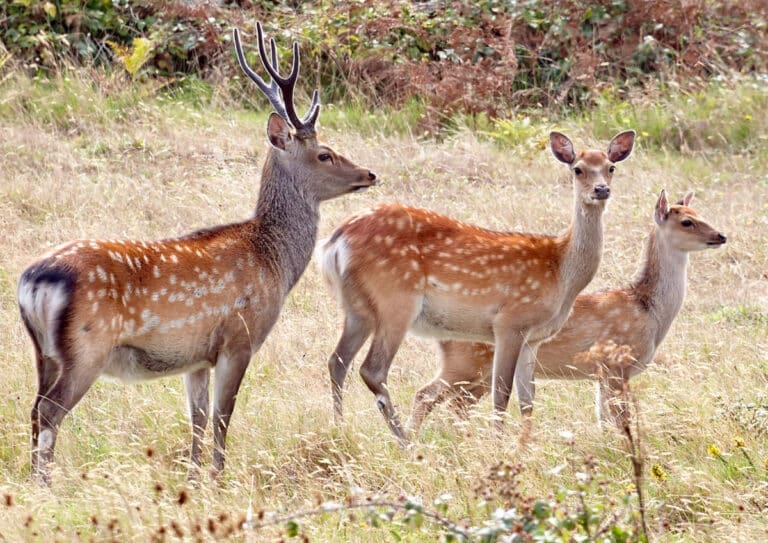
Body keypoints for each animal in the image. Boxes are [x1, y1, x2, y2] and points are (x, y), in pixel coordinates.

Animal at [17, 23, 377, 485]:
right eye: (325, 153)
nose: (369, 173)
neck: (273, 261)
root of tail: (33, 280)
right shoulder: (239, 337)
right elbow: (224, 416)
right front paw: (219, 480)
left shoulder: (195, 357)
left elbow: (198, 420)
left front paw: (193, 480)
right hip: (85, 347)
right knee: (49, 411)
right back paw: (45, 485)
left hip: (42, 351)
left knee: (33, 408)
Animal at [316, 130, 636, 443]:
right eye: (578, 169)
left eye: (611, 167)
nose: (601, 190)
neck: (561, 271)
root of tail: (334, 242)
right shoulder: (510, 322)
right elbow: (502, 393)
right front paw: (499, 445)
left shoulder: (534, 338)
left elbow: (528, 400)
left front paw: (525, 446)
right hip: (395, 300)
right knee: (372, 369)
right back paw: (404, 440)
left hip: (357, 308)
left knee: (337, 361)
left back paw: (340, 429)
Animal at [406, 190, 727, 433]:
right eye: (687, 222)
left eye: (700, 212)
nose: (721, 235)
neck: (648, 310)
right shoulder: (617, 366)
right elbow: (621, 421)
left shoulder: (602, 375)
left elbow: (604, 421)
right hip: (464, 362)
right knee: (425, 396)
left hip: (476, 374)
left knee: (456, 406)